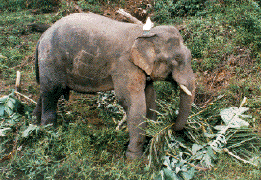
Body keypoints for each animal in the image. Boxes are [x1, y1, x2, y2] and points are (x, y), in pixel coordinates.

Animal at [32, 12, 194, 159]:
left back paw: (35, 125)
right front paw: (135, 160)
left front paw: (152, 137)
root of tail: (42, 36)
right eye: (176, 59)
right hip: (51, 60)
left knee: (44, 92)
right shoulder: (125, 65)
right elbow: (132, 103)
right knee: (52, 93)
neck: (145, 33)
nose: (171, 125)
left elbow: (150, 97)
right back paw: (49, 133)